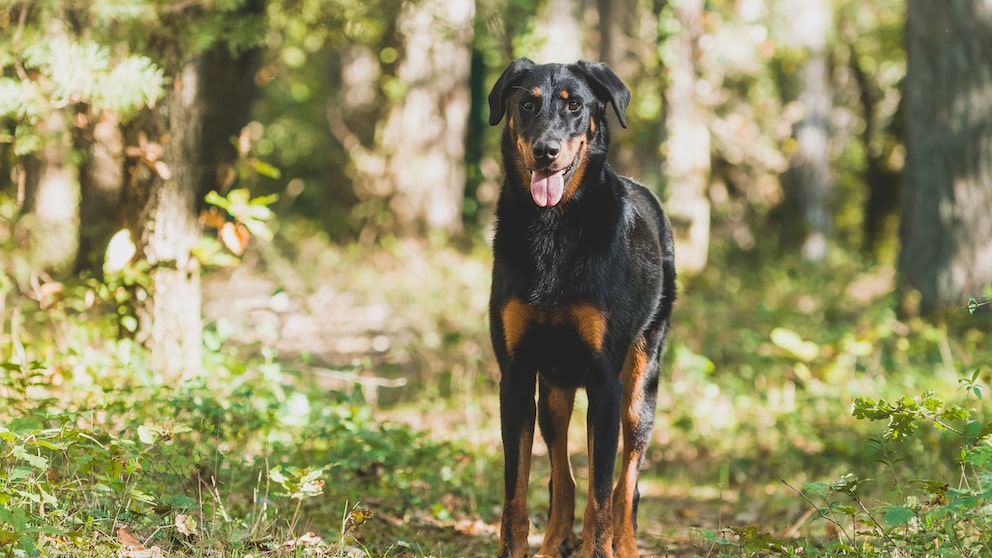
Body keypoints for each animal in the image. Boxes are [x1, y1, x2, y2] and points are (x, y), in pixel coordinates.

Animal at [486, 58, 676, 558]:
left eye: (575, 106)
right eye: (527, 104)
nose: (545, 151)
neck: (553, 226)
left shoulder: (605, 382)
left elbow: (603, 493)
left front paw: (599, 546)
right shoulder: (516, 377)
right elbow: (516, 492)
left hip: (640, 388)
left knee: (626, 484)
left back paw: (623, 545)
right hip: (555, 387)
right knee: (563, 475)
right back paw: (554, 542)